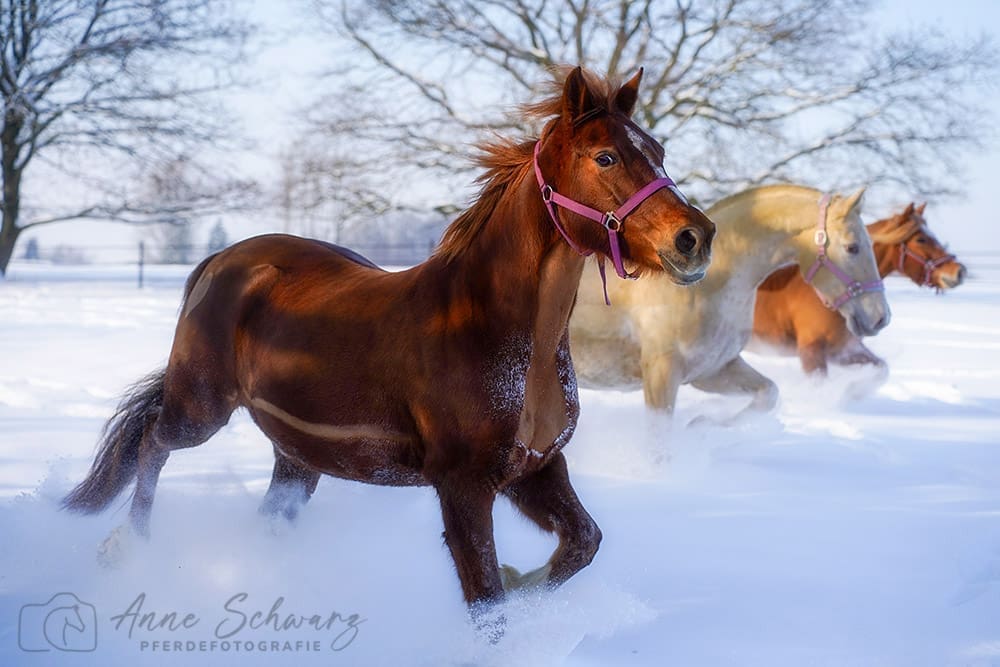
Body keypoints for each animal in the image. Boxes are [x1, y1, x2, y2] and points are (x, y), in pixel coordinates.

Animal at [62, 68, 716, 612]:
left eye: (657, 151)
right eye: (605, 156)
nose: (694, 239)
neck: (492, 330)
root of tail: (220, 261)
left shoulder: (536, 467)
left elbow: (582, 544)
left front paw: (524, 578)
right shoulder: (463, 484)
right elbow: (488, 601)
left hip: (297, 452)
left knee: (266, 511)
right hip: (202, 407)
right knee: (153, 441)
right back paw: (125, 547)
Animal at [568, 185, 888, 418]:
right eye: (853, 247)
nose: (880, 317)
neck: (704, 288)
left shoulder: (713, 370)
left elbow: (769, 393)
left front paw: (701, 425)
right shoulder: (662, 374)